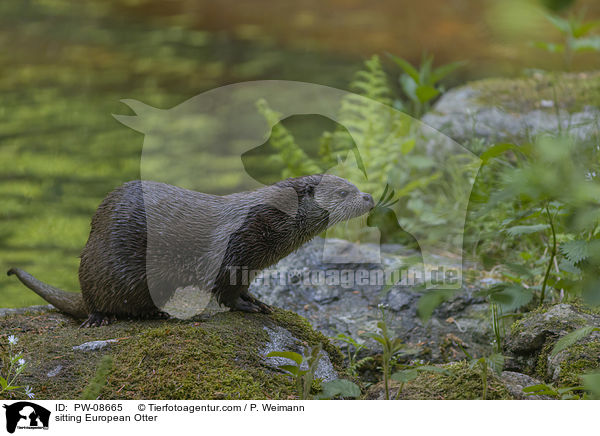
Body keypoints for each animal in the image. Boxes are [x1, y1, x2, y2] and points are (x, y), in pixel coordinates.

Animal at [8, 175, 376, 328]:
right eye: (344, 192)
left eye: (355, 185)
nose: (369, 196)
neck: (270, 220)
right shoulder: (234, 249)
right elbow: (227, 291)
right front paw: (247, 307)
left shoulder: (248, 264)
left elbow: (242, 288)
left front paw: (259, 301)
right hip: (101, 264)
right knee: (96, 301)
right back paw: (101, 318)